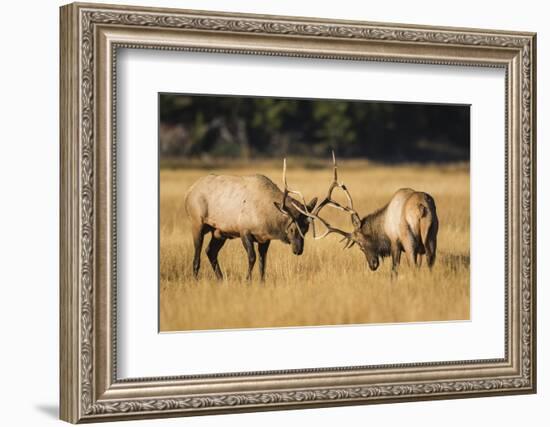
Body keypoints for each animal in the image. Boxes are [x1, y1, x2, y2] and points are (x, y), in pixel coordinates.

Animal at [184, 160, 316, 280]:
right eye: (292, 229)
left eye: (306, 229)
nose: (298, 250)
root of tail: (189, 192)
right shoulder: (244, 231)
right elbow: (252, 257)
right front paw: (247, 280)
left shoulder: (265, 238)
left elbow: (263, 262)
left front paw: (262, 282)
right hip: (197, 223)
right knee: (197, 256)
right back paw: (196, 279)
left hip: (219, 232)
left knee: (210, 251)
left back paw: (221, 279)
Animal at [296, 153, 442, 274]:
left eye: (361, 244)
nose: (372, 265)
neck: (383, 226)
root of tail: (421, 207)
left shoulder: (395, 242)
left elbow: (394, 270)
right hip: (432, 235)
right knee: (430, 263)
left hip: (409, 239)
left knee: (413, 266)